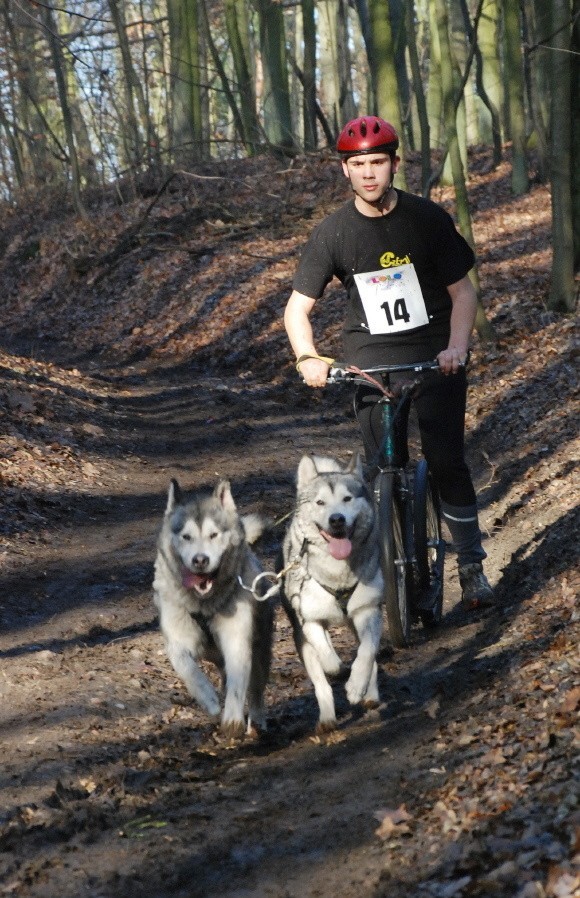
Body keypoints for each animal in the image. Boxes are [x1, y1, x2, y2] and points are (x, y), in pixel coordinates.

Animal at [152, 476, 274, 736]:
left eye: (213, 535)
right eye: (186, 536)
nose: (200, 560)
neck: (204, 605)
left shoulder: (237, 639)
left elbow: (239, 683)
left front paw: (233, 719)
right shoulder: (177, 641)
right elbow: (188, 669)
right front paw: (208, 698)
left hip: (260, 647)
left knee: (256, 687)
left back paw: (257, 719)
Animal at [282, 452, 386, 732]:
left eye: (347, 498)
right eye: (320, 502)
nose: (336, 518)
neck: (338, 574)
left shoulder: (368, 610)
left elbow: (367, 652)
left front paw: (356, 685)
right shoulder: (309, 620)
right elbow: (327, 656)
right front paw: (337, 668)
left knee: (368, 655)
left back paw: (369, 693)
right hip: (301, 638)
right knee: (321, 680)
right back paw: (328, 716)